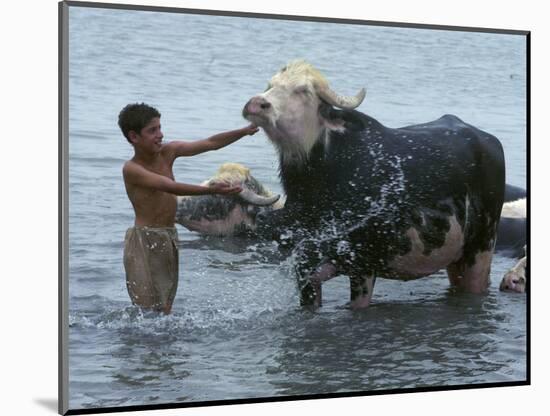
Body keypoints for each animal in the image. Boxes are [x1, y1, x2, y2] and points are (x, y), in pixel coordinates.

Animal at [242, 58, 504, 308]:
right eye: (271, 85)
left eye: (303, 90)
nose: (256, 104)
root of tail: (488, 141)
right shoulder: (305, 267)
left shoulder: (363, 265)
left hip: (482, 248)